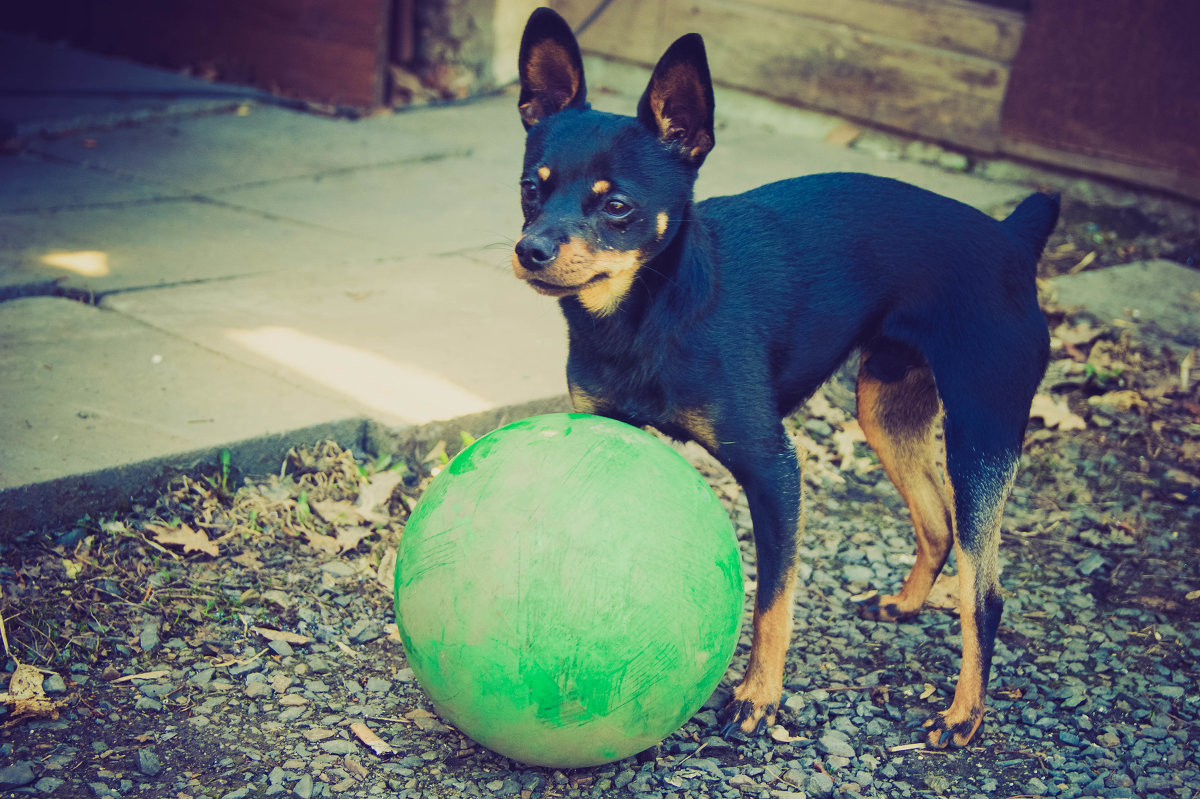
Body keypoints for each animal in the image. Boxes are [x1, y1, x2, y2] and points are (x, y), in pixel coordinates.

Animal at [511, 7, 1056, 748]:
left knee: (984, 592)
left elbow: (773, 599)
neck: (648, 313)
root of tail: (1012, 241)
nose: (530, 249)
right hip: (884, 406)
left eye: (616, 206)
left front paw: (758, 697)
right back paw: (905, 605)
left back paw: (963, 716)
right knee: (938, 521)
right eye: (530, 189)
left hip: (982, 432)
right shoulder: (611, 428)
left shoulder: (773, 470)